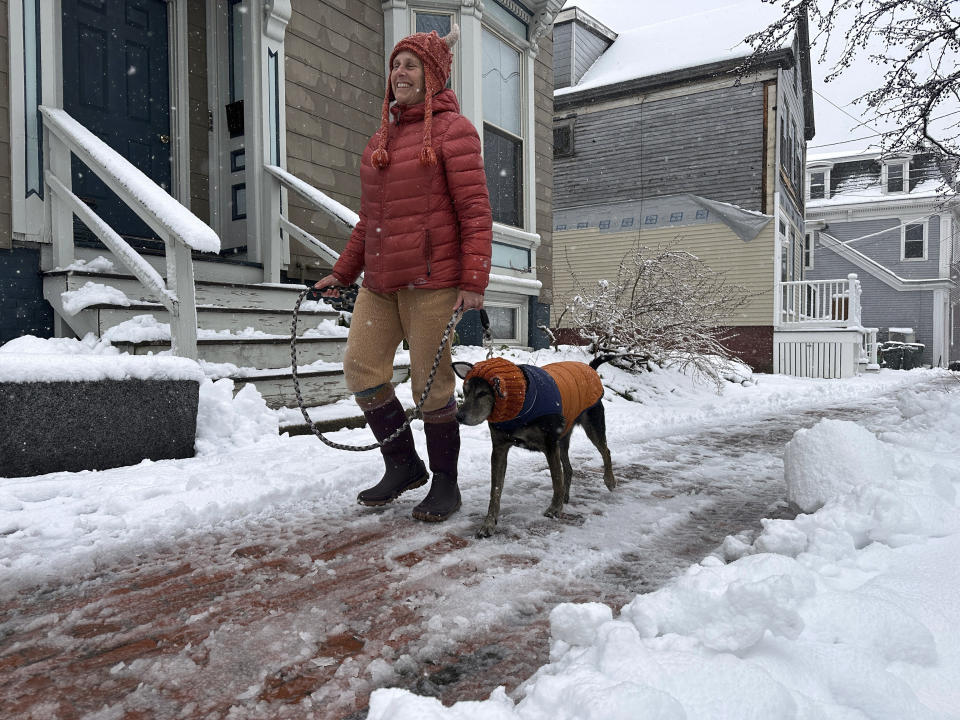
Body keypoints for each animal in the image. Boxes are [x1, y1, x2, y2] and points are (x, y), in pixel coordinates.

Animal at [456, 358, 620, 536]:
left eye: (482, 393)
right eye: (465, 392)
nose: (458, 416)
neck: (520, 407)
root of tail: (591, 368)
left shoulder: (550, 444)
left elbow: (556, 479)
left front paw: (555, 508)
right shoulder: (499, 448)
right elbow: (495, 490)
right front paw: (489, 523)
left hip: (591, 425)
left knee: (606, 451)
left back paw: (609, 480)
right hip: (563, 437)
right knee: (568, 468)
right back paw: (566, 496)